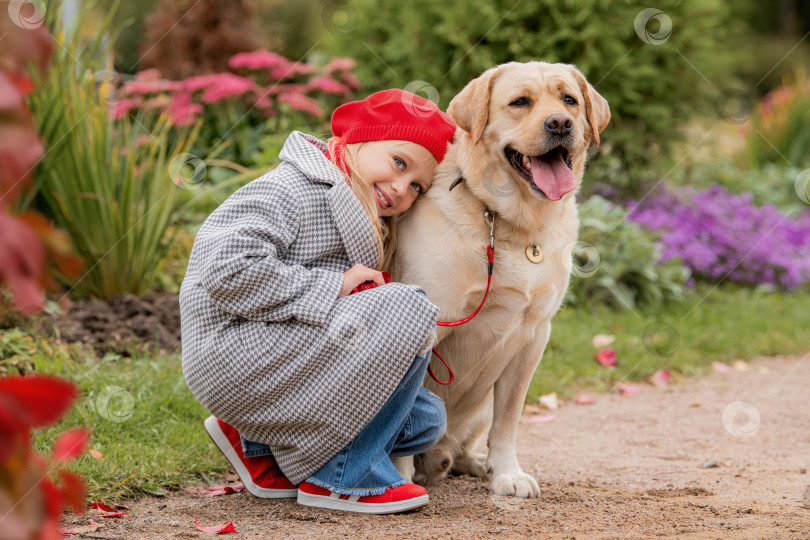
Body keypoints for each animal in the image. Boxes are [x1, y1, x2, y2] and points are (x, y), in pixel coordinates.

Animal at [392, 63, 608, 498]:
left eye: (569, 100)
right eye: (520, 102)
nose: (560, 123)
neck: (513, 223)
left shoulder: (532, 336)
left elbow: (508, 420)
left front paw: (507, 473)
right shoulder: (425, 327)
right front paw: (401, 479)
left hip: (479, 408)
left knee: (460, 444)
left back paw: (467, 462)